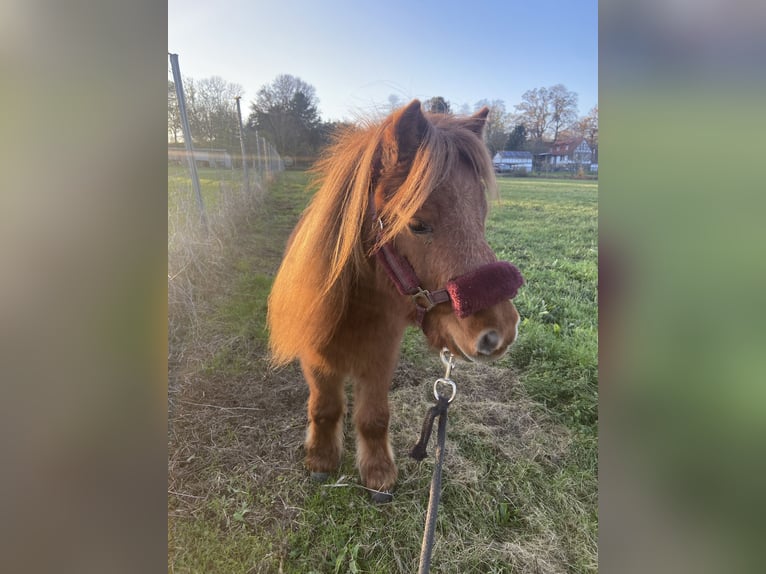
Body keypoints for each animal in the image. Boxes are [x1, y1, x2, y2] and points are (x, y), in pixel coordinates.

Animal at [267, 100, 524, 501]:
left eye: (482, 215)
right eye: (417, 224)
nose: (500, 332)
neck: (358, 310)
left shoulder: (380, 361)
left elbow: (374, 417)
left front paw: (377, 473)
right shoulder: (317, 360)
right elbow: (325, 408)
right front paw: (322, 460)